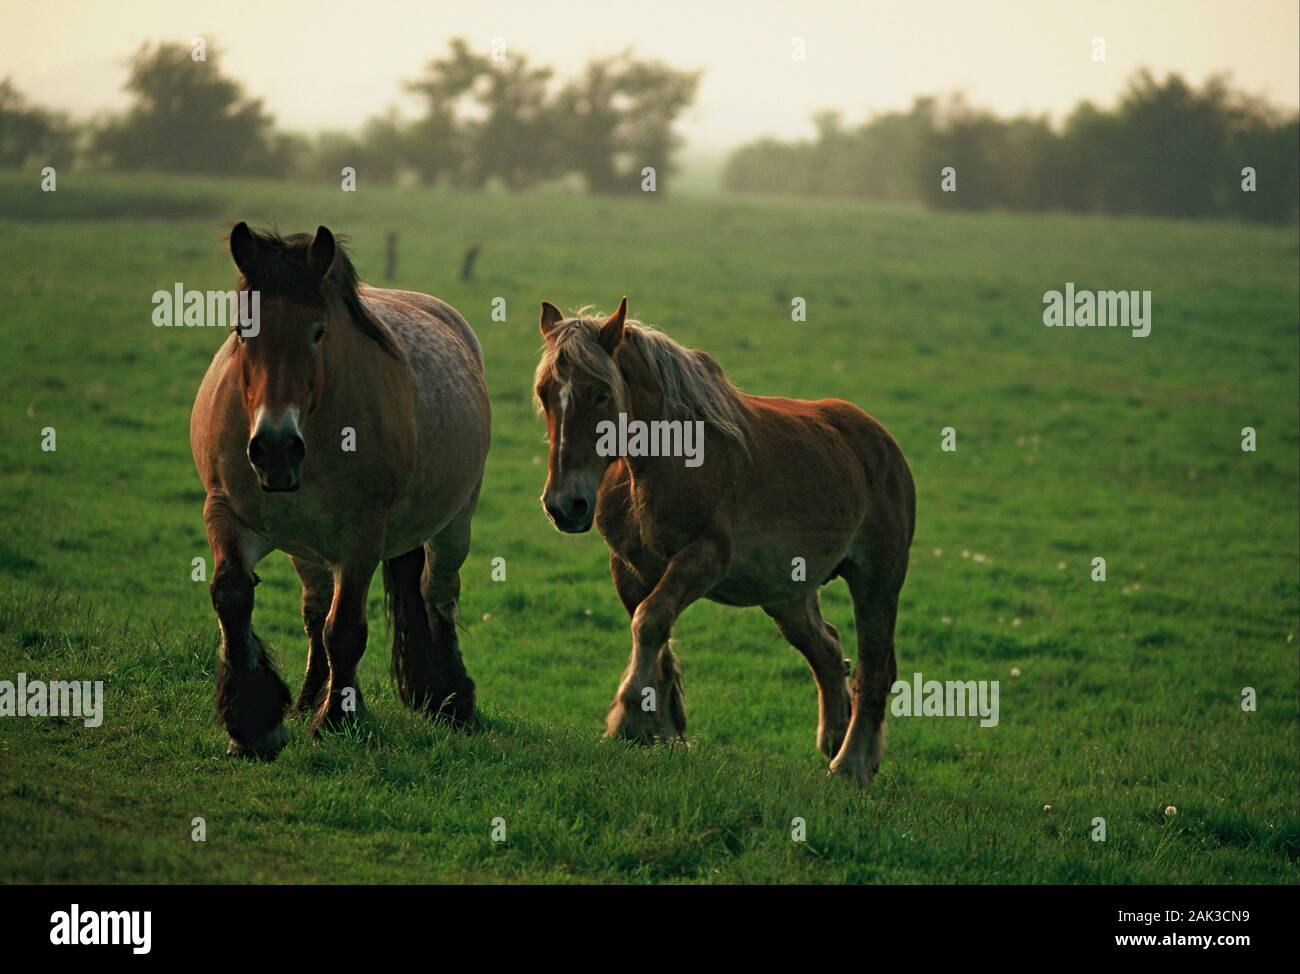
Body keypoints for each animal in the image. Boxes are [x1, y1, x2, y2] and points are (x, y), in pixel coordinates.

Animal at [185, 223, 486, 754]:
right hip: (306, 549)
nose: (275, 448)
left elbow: (345, 629)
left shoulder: (362, 534)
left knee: (438, 596)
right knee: (314, 609)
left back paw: (454, 701)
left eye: (318, 331)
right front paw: (254, 723)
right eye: (242, 329)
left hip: (454, 525)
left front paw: (335, 720)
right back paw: (310, 696)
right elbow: (234, 596)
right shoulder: (227, 513)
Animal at [530, 296, 915, 780]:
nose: (565, 505)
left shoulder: (704, 558)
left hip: (877, 580)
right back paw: (834, 737)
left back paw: (850, 764)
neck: (659, 462)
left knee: (874, 669)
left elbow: (650, 622)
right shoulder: (630, 569)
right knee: (827, 652)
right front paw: (662, 731)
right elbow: (656, 638)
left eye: (600, 393)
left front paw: (628, 719)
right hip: (788, 595)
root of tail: (883, 444)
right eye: (545, 393)